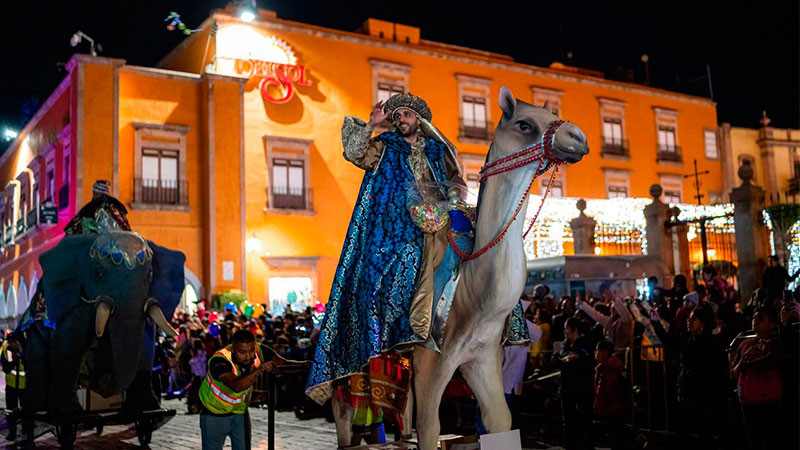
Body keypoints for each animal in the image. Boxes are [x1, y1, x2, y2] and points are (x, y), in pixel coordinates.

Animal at [332, 86, 588, 448]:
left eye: (552, 116)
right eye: (524, 124)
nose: (577, 137)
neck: (473, 290)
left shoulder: (483, 358)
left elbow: (499, 420)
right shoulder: (432, 359)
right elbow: (429, 428)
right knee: (345, 416)